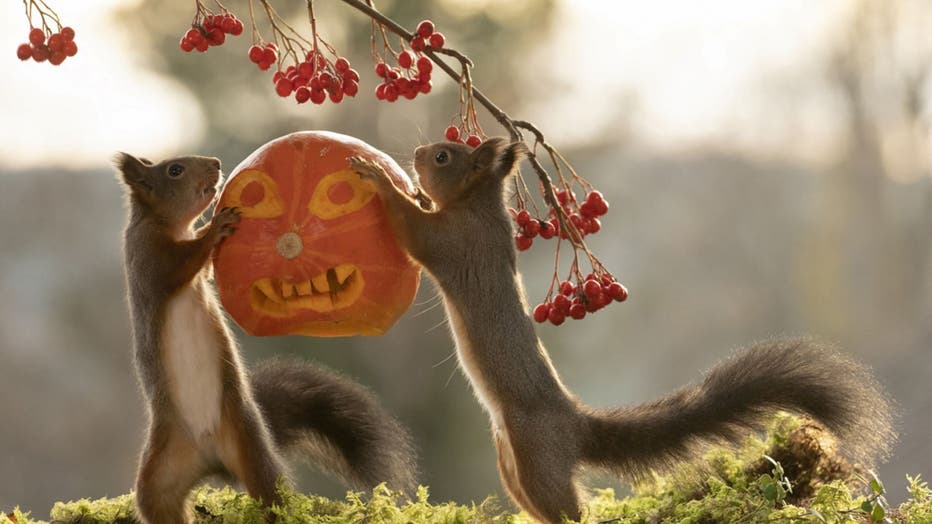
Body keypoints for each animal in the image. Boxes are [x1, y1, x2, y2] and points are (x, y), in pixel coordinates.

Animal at [114, 153, 417, 524]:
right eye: (175, 170)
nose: (215, 163)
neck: (162, 223)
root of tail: (210, 457)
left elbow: (203, 269)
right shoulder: (146, 259)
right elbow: (177, 267)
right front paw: (216, 227)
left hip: (250, 447)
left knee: (269, 495)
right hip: (163, 471)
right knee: (159, 502)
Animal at [348, 138, 897, 523]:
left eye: (443, 156)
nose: (417, 154)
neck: (478, 205)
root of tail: (573, 421)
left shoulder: (454, 241)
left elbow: (415, 231)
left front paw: (381, 179)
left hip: (537, 460)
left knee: (570, 511)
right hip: (513, 467)